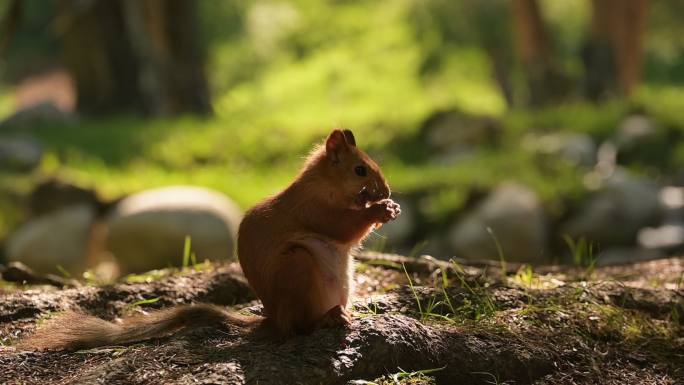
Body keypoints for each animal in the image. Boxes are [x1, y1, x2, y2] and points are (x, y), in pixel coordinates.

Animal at [18, 127, 398, 350]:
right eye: (360, 170)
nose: (387, 192)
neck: (324, 185)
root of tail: (273, 318)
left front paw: (388, 207)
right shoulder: (313, 210)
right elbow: (342, 228)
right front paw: (379, 211)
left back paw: (344, 314)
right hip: (298, 266)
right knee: (300, 327)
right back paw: (326, 319)